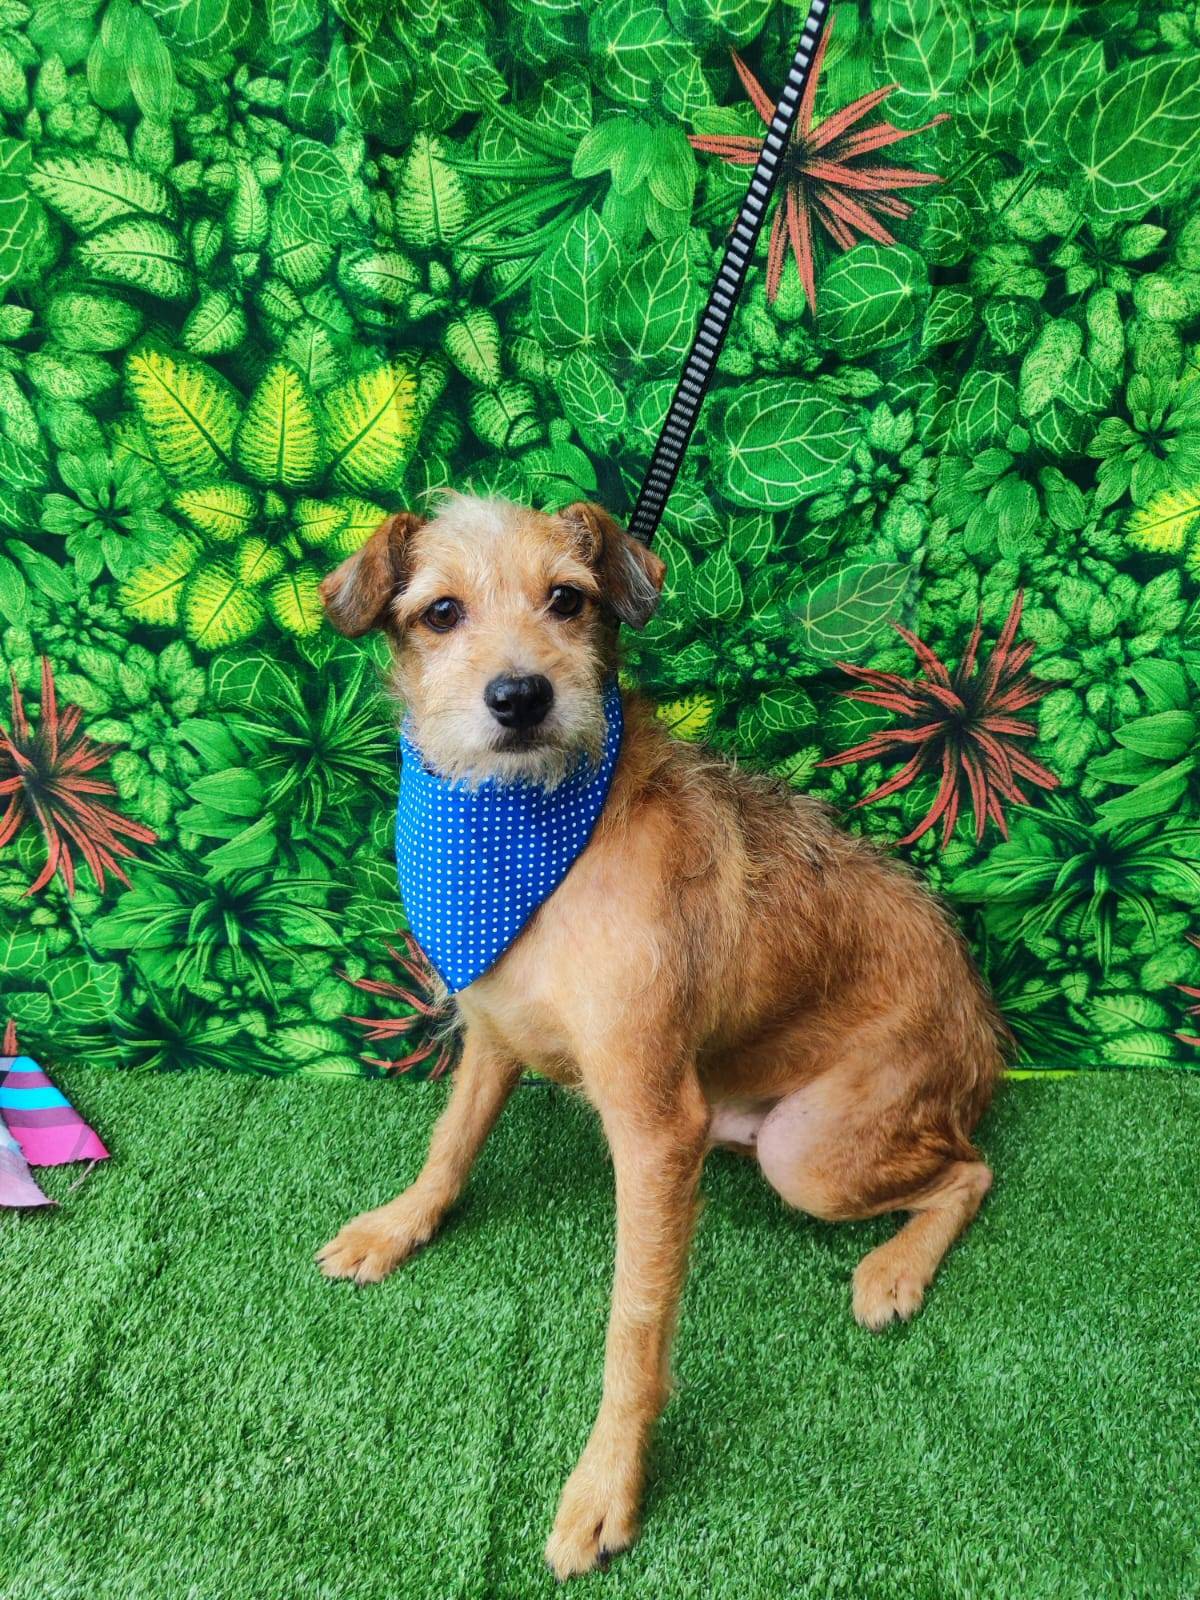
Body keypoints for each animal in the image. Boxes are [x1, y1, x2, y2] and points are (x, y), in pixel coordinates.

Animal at [316, 493, 1007, 1579]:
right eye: (440, 612)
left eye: (567, 598)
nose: (521, 696)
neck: (534, 837)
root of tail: (985, 1023)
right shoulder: (492, 1033)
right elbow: (450, 1143)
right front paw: (400, 1224)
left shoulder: (654, 1126)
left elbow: (634, 1329)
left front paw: (606, 1485)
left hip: (810, 1153)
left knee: (972, 1170)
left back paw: (894, 1269)